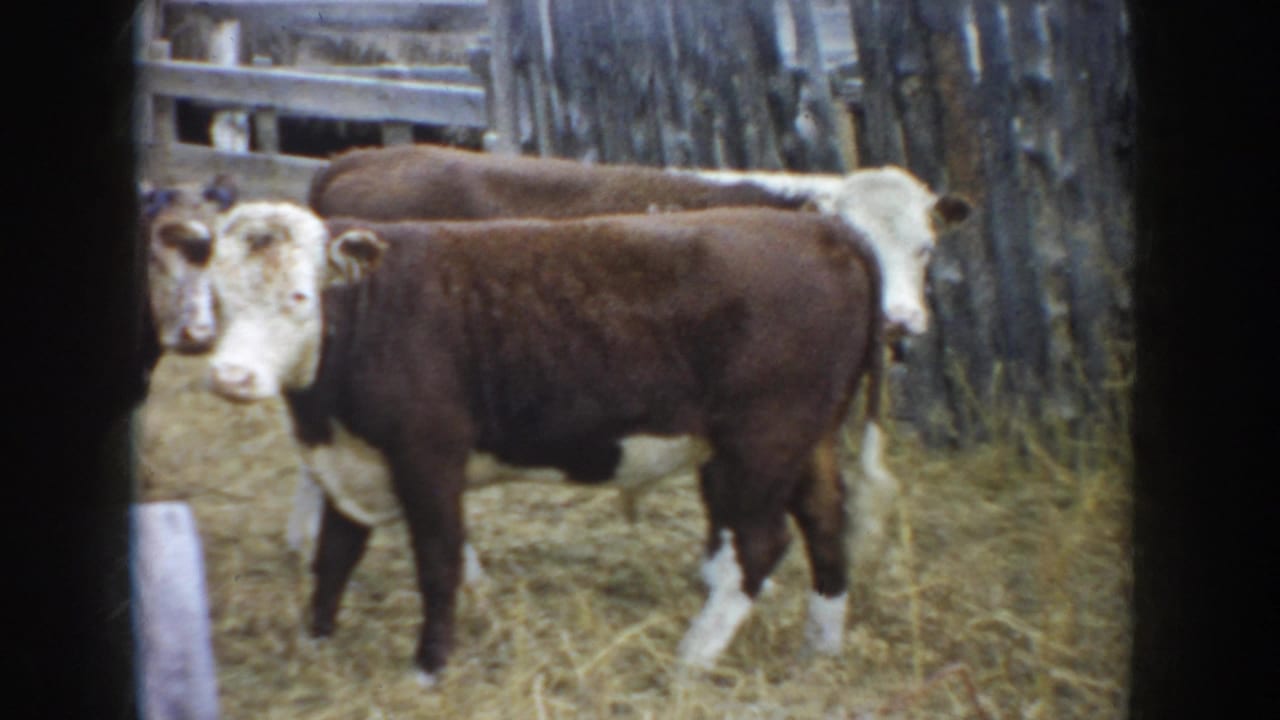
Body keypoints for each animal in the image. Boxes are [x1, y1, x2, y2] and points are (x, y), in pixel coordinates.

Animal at [204, 200, 898, 686]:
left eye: (299, 296)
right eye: (216, 295)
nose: (231, 377)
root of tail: (821, 229)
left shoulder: (428, 455)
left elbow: (437, 562)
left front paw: (429, 669)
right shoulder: (352, 462)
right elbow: (334, 557)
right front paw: (314, 645)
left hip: (760, 443)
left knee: (758, 544)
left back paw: (692, 659)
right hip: (809, 441)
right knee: (826, 524)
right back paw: (821, 647)